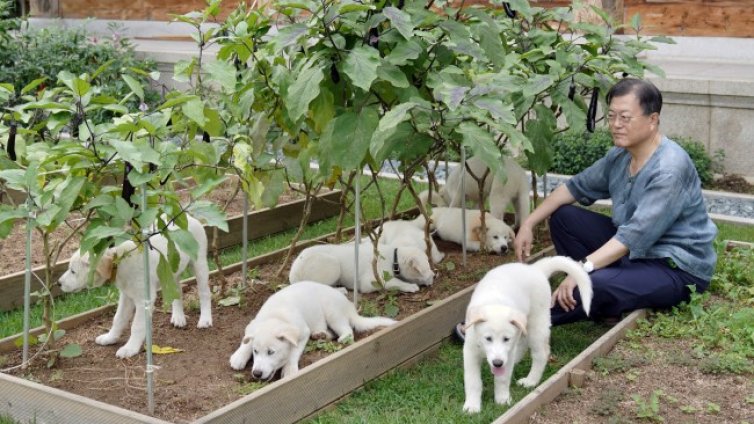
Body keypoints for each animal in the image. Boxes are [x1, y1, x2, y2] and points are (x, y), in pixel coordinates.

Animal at [57, 215, 210, 358]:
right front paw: (110, 338)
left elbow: (136, 326)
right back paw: (178, 317)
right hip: (171, 272)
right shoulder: (126, 296)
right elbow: (118, 319)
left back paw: (205, 319)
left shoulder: (143, 301)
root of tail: (188, 217)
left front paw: (130, 348)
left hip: (200, 264)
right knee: (177, 291)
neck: (119, 262)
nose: (58, 283)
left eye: (73, 271)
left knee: (204, 293)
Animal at [228, 284, 394, 380]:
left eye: (271, 352)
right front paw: (239, 356)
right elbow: (247, 340)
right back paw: (321, 334)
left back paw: (342, 338)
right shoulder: (254, 325)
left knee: (347, 329)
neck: (276, 316)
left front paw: (289, 369)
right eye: (255, 351)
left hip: (333, 312)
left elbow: (293, 352)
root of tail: (350, 306)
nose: (256, 373)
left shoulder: (302, 332)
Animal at [288, 240, 432, 294]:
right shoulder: (371, 281)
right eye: (425, 269)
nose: (434, 276)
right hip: (333, 265)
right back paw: (340, 290)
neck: (394, 257)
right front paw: (410, 286)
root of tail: (293, 273)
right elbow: (394, 282)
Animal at [462, 256, 592, 412]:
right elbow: (473, 381)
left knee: (541, 353)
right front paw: (472, 406)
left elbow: (502, 379)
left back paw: (531, 381)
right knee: (523, 343)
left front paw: (502, 400)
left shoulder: (508, 350)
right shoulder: (470, 351)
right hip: (524, 325)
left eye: (506, 339)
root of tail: (535, 269)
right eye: (488, 338)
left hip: (537, 323)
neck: (495, 302)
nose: (498, 363)